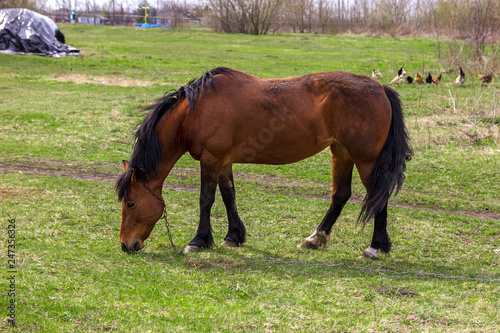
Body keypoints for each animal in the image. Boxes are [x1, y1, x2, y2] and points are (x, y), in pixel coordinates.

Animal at [116, 67, 410, 258]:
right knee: (340, 195)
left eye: (130, 203)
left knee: (377, 196)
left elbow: (206, 200)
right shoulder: (223, 162)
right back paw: (315, 239)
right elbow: (229, 196)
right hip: (341, 153)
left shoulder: (211, 159)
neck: (195, 110)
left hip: (365, 160)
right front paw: (233, 236)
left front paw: (199, 240)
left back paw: (375, 247)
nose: (126, 245)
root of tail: (380, 88)